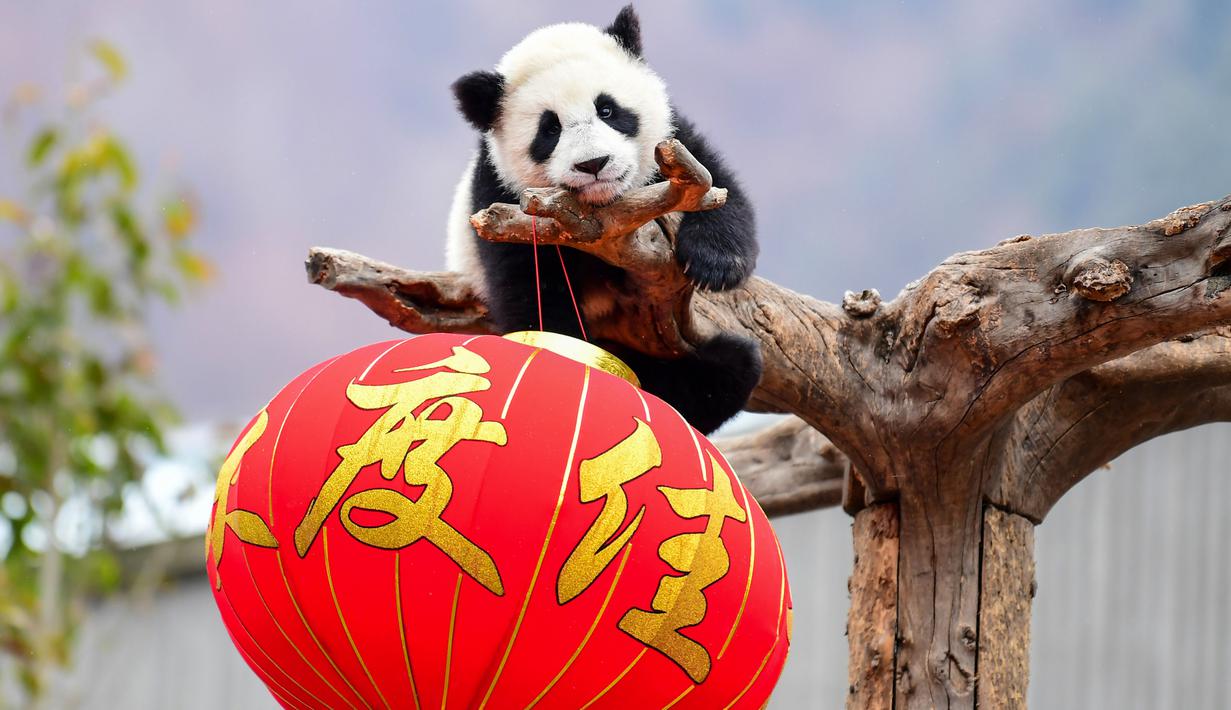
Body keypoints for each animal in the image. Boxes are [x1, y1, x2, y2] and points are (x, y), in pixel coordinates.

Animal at [446, 5, 761, 435]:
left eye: (608, 110)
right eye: (550, 129)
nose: (593, 164)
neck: (604, 209)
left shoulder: (673, 144)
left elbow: (715, 184)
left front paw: (716, 263)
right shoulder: (501, 203)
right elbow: (535, 302)